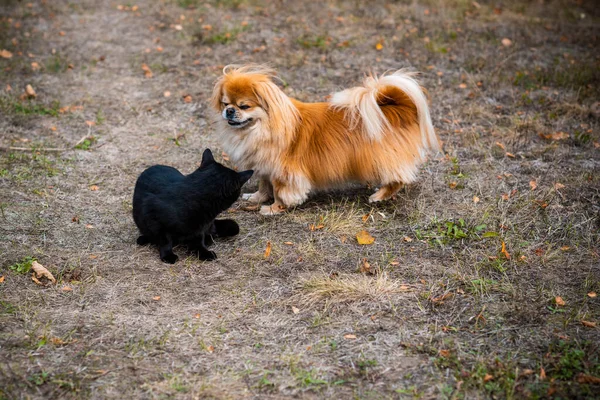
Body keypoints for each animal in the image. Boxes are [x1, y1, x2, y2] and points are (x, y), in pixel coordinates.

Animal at [212, 65, 440, 216]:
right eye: (225, 103)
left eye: (244, 106)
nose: (229, 111)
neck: (260, 129)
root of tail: (395, 109)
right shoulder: (265, 167)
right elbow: (264, 186)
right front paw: (256, 198)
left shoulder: (283, 173)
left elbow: (279, 192)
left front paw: (273, 208)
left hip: (379, 158)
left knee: (399, 178)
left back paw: (379, 196)